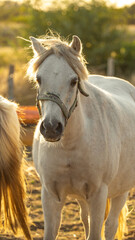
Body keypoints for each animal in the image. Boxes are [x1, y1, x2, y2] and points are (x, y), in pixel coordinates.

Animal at [28, 34, 135, 240]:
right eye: (38, 79)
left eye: (73, 81)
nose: (51, 127)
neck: (70, 146)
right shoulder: (50, 195)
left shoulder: (98, 195)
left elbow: (97, 231)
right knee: (86, 220)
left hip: (121, 191)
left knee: (110, 225)